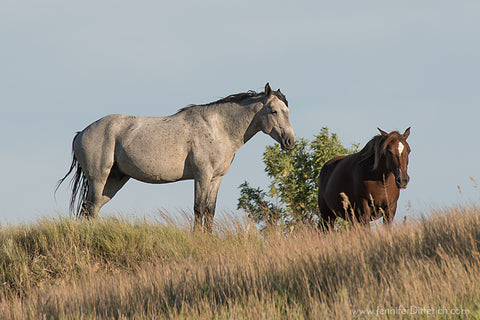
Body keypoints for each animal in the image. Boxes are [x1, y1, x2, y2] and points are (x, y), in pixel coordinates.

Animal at [58, 84, 294, 231]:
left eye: (287, 111)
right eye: (273, 111)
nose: (290, 141)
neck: (218, 128)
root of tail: (81, 133)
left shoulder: (216, 178)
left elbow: (210, 210)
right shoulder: (202, 175)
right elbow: (199, 208)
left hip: (114, 181)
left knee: (91, 208)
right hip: (98, 178)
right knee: (89, 207)